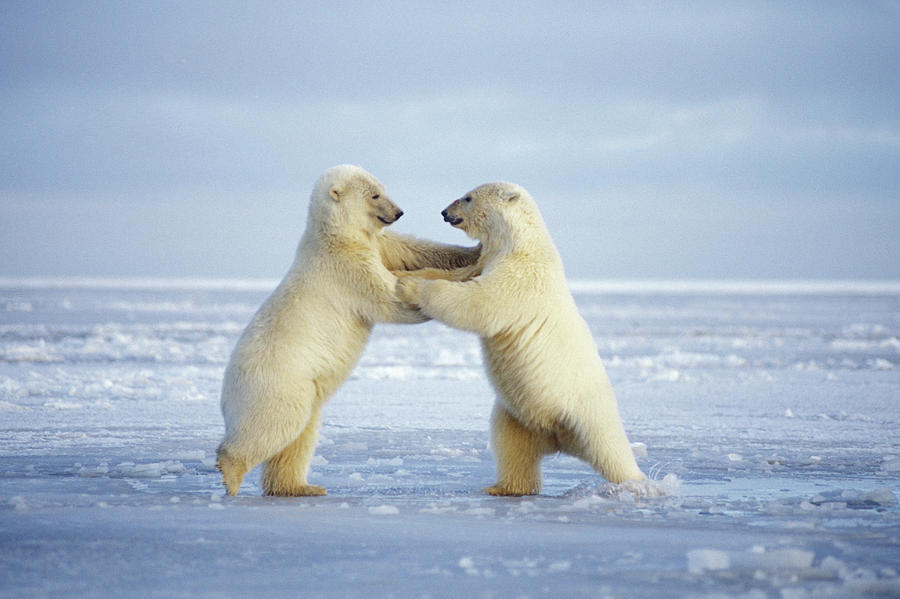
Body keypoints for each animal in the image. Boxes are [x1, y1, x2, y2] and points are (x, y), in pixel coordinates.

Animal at [215, 165, 482, 496]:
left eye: (382, 188)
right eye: (376, 195)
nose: (398, 212)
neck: (333, 234)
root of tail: (226, 392)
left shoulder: (375, 243)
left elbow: (415, 249)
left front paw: (475, 250)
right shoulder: (346, 267)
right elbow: (390, 297)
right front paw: (463, 273)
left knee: (299, 437)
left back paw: (301, 487)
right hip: (277, 386)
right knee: (273, 427)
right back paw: (231, 473)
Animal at [398, 183, 644, 496]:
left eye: (467, 197)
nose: (444, 212)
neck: (519, 242)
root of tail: (560, 440)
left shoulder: (522, 275)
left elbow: (478, 302)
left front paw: (408, 286)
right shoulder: (487, 260)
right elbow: (459, 276)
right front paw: (403, 272)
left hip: (587, 410)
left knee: (612, 451)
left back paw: (639, 484)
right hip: (519, 414)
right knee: (511, 444)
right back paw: (502, 487)